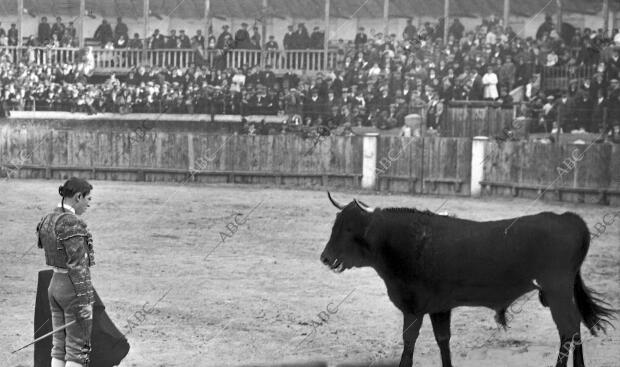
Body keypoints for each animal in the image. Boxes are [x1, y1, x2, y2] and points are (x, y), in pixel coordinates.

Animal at [320, 193, 616, 367]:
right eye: (335, 224)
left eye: (348, 229)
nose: (325, 258)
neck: (410, 241)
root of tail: (569, 218)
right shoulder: (439, 307)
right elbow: (443, 340)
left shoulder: (413, 308)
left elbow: (409, 343)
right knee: (574, 327)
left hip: (557, 291)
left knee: (568, 328)